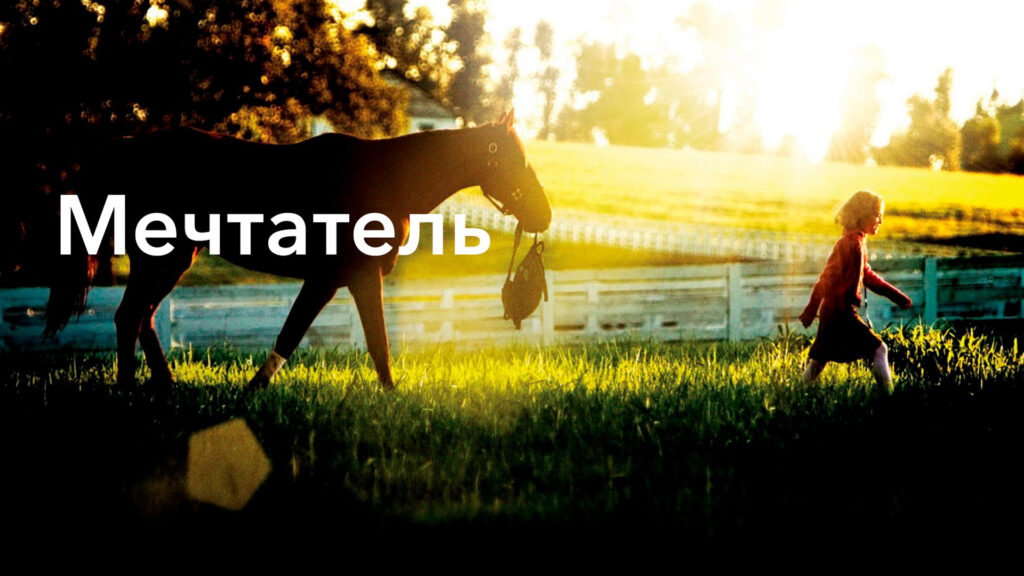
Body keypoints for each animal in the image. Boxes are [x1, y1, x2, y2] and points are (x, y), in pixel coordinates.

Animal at [45, 109, 551, 391]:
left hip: (172, 258)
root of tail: (124, 148)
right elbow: (369, 341)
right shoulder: (349, 277)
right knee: (130, 316)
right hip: (162, 257)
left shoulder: (336, 280)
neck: (387, 180)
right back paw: (131, 391)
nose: (544, 215)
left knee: (142, 318)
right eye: (515, 160)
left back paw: (165, 389)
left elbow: (307, 335)